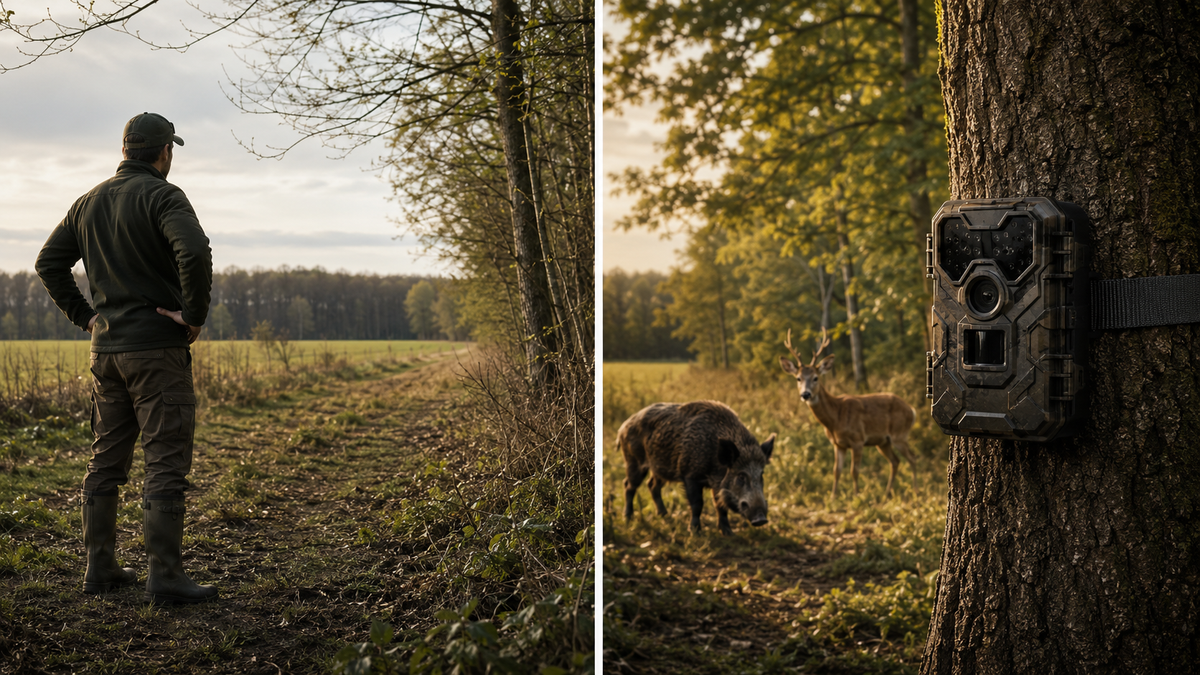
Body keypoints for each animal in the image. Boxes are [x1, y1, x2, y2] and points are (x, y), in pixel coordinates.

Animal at [779, 328, 918, 499]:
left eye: (816, 378)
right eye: (798, 378)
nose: (806, 394)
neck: (835, 419)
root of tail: (911, 410)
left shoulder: (858, 439)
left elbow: (854, 471)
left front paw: (857, 496)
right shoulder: (838, 444)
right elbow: (836, 471)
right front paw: (833, 497)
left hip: (899, 434)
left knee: (912, 458)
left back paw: (915, 491)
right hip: (883, 441)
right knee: (895, 461)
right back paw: (887, 493)